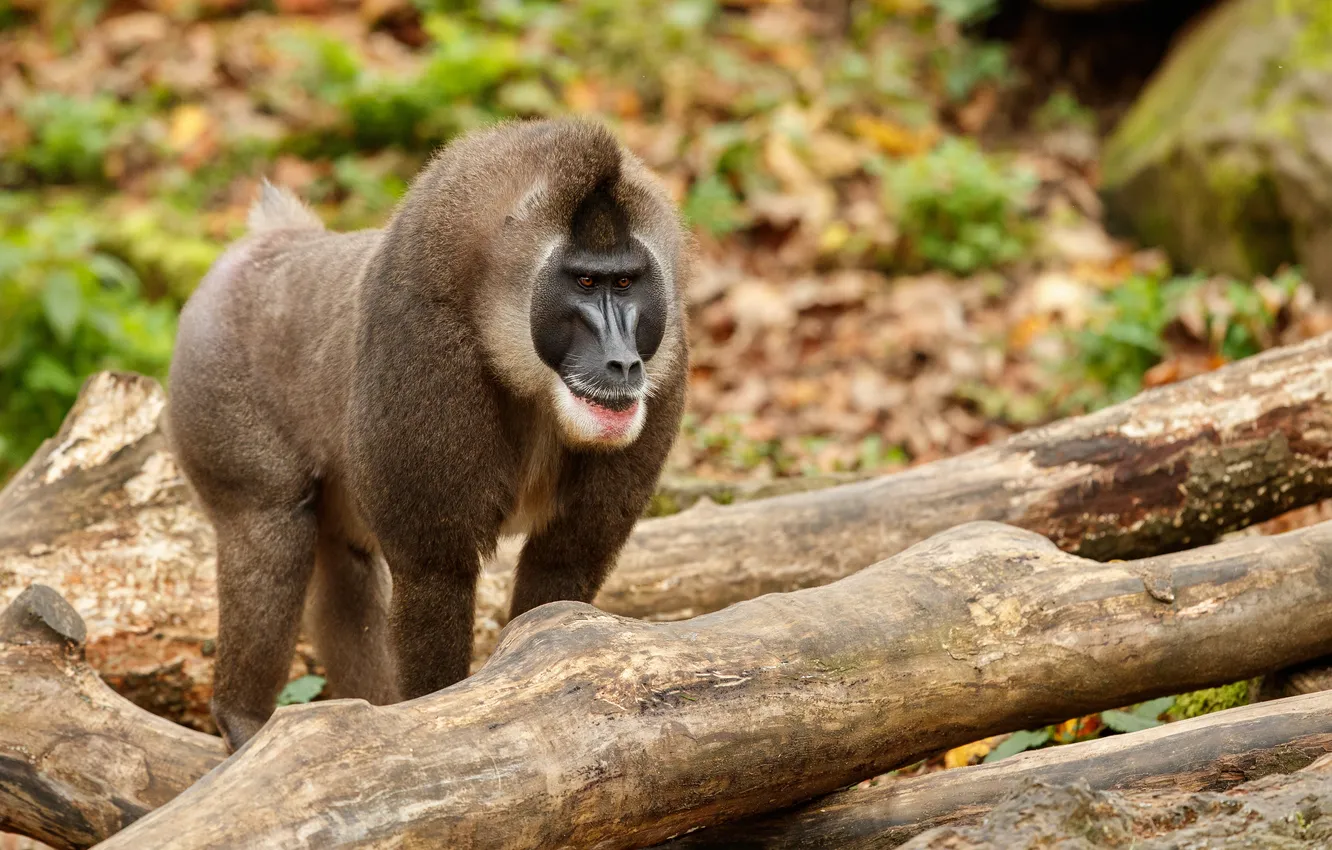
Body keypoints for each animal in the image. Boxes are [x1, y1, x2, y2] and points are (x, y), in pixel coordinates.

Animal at [164, 118, 691, 753]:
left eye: (626, 282)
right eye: (586, 281)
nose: (624, 362)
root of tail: (262, 247)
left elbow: (561, 574)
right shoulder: (422, 337)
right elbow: (435, 576)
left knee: (344, 574)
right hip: (220, 410)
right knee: (271, 533)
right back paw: (242, 719)